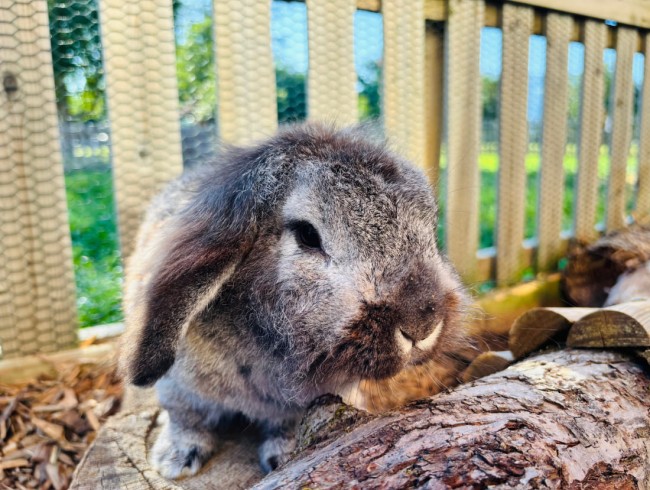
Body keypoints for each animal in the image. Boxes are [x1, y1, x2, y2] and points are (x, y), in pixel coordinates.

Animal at [119, 123, 469, 479]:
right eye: (307, 235)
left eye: (430, 227)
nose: (422, 323)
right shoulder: (179, 389)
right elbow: (185, 418)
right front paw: (175, 460)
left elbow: (288, 427)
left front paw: (283, 458)